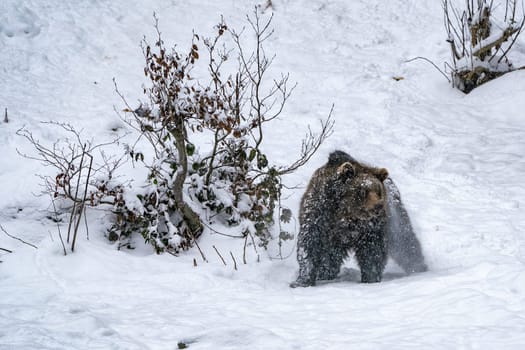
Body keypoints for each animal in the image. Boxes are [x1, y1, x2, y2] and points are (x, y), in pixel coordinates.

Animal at [290, 150, 426, 288]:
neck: (347, 215)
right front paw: (302, 281)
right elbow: (309, 244)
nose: (377, 206)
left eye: (378, 191)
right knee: (330, 256)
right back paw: (325, 273)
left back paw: (419, 267)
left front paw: (370, 278)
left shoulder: (370, 227)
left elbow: (372, 251)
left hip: (395, 217)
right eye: (362, 191)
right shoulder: (320, 215)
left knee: (405, 241)